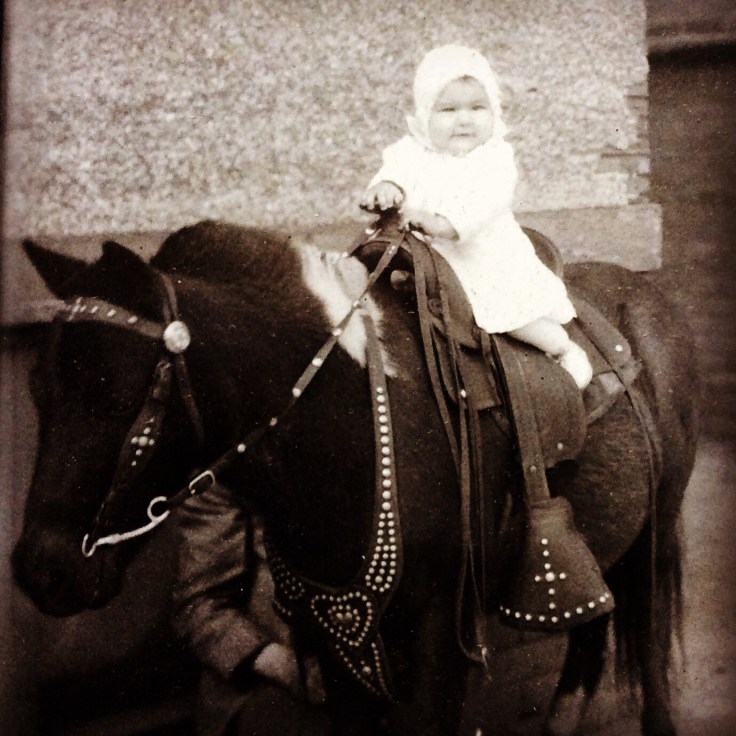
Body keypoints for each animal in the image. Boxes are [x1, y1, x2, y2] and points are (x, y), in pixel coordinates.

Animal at [11, 219, 699, 735]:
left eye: (121, 397)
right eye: (39, 388)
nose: (43, 569)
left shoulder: (441, 637)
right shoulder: (335, 641)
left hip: (659, 528)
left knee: (647, 643)